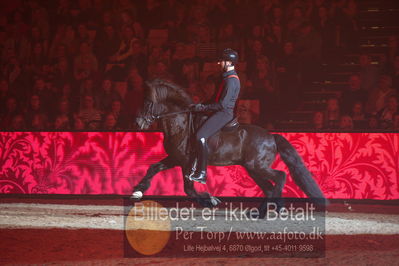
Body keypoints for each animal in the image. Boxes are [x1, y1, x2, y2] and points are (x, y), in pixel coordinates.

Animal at [133, 78, 326, 212]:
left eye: (147, 102)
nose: (138, 123)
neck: (180, 123)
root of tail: (271, 136)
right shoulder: (175, 158)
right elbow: (153, 168)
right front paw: (137, 191)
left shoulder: (186, 162)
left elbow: (188, 189)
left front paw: (210, 200)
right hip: (252, 169)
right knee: (269, 187)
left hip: (257, 166)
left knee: (280, 176)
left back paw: (274, 208)